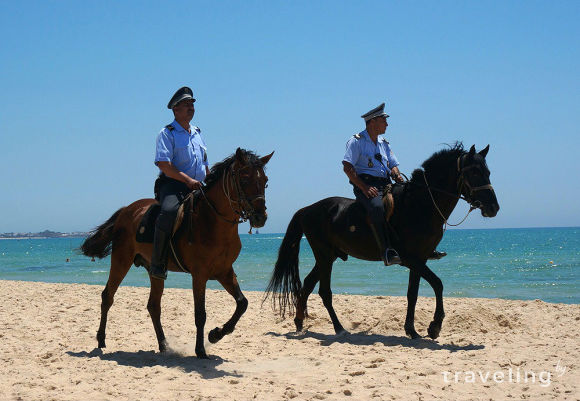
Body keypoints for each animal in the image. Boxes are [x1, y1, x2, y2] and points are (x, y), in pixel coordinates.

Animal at [78, 148, 274, 358]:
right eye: (244, 179)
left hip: (154, 270)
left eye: (265, 181)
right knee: (108, 296)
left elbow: (242, 303)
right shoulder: (199, 275)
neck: (212, 221)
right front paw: (200, 349)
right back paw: (101, 340)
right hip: (121, 260)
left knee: (153, 305)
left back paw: (163, 345)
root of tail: (126, 210)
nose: (260, 217)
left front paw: (216, 334)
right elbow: (200, 314)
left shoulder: (225, 271)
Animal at [266, 143, 498, 338]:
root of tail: (307, 209)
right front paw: (434, 326)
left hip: (329, 256)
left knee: (307, 285)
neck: (420, 204)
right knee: (324, 292)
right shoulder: (411, 259)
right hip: (324, 255)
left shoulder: (420, 260)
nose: (493, 208)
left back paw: (299, 323)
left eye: (487, 172)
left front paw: (411, 330)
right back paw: (339, 329)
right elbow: (438, 284)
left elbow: (412, 294)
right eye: (474, 172)